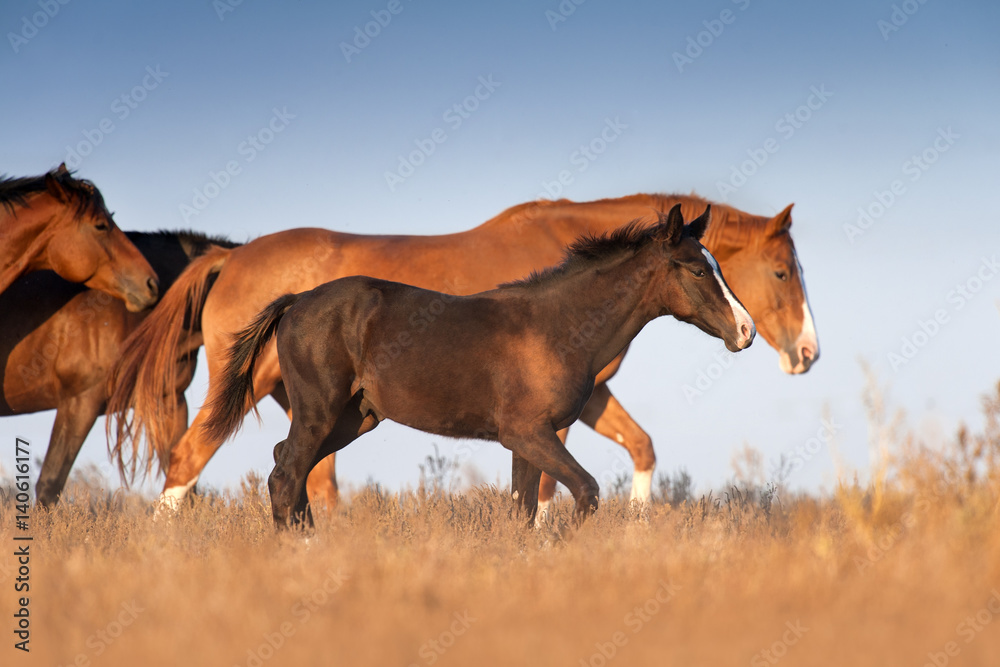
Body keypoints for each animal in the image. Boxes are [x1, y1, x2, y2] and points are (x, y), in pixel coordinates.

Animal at [107, 192, 817, 512]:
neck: (557, 322)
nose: (751, 333)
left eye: (721, 265)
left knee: (292, 470)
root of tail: (296, 298)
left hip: (349, 417)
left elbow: (528, 504)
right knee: (250, 468)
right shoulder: (532, 432)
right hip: (310, 407)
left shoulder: (533, 438)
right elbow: (582, 492)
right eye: (698, 270)